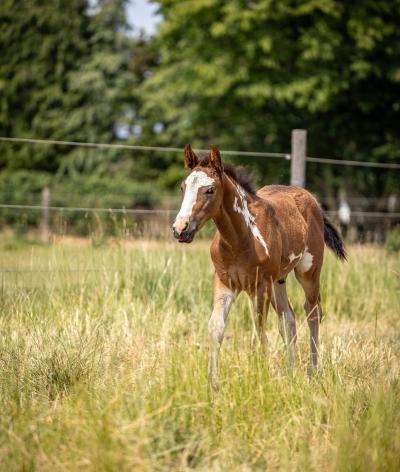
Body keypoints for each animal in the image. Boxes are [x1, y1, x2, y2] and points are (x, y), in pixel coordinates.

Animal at [173, 146, 346, 390]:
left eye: (210, 190)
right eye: (183, 187)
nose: (180, 229)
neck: (240, 238)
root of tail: (313, 201)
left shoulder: (260, 285)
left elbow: (258, 330)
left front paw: (259, 376)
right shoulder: (224, 283)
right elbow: (216, 327)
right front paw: (212, 383)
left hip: (308, 272)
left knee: (312, 312)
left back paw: (313, 371)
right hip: (278, 281)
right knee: (288, 319)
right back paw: (290, 373)